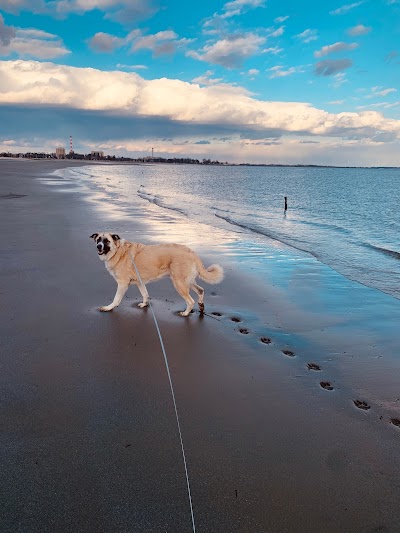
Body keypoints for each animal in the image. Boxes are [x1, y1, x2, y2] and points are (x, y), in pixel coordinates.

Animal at [90, 233, 225, 316]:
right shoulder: (139, 282)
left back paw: (186, 313)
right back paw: (201, 306)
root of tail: (191, 252)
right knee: (201, 290)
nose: (98, 246)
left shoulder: (122, 284)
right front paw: (145, 304)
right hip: (188, 281)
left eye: (106, 241)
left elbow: (116, 299)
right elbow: (145, 294)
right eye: (98, 240)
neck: (118, 251)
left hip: (179, 283)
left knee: (190, 301)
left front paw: (108, 308)